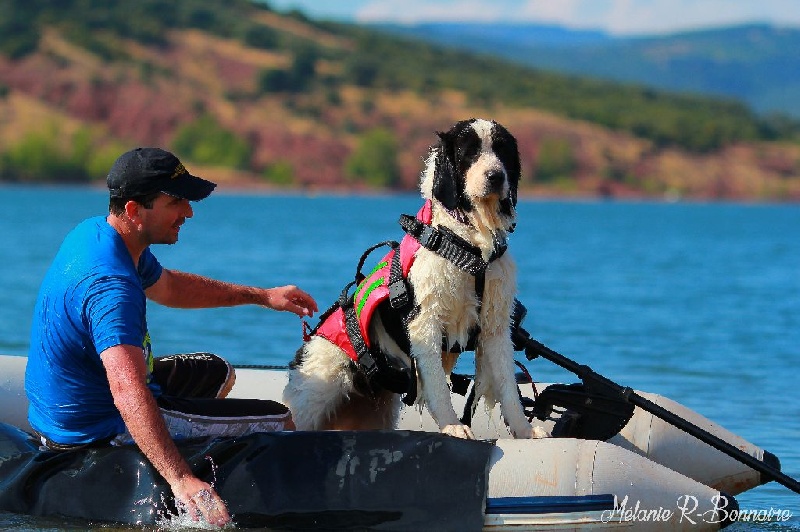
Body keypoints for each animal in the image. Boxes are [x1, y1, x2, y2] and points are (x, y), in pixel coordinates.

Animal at [284, 118, 545, 440]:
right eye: (469, 152)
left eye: (502, 151)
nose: (495, 176)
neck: (467, 243)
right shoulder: (425, 320)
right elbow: (437, 384)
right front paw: (453, 426)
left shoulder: (495, 324)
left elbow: (508, 386)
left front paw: (526, 431)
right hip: (318, 389)